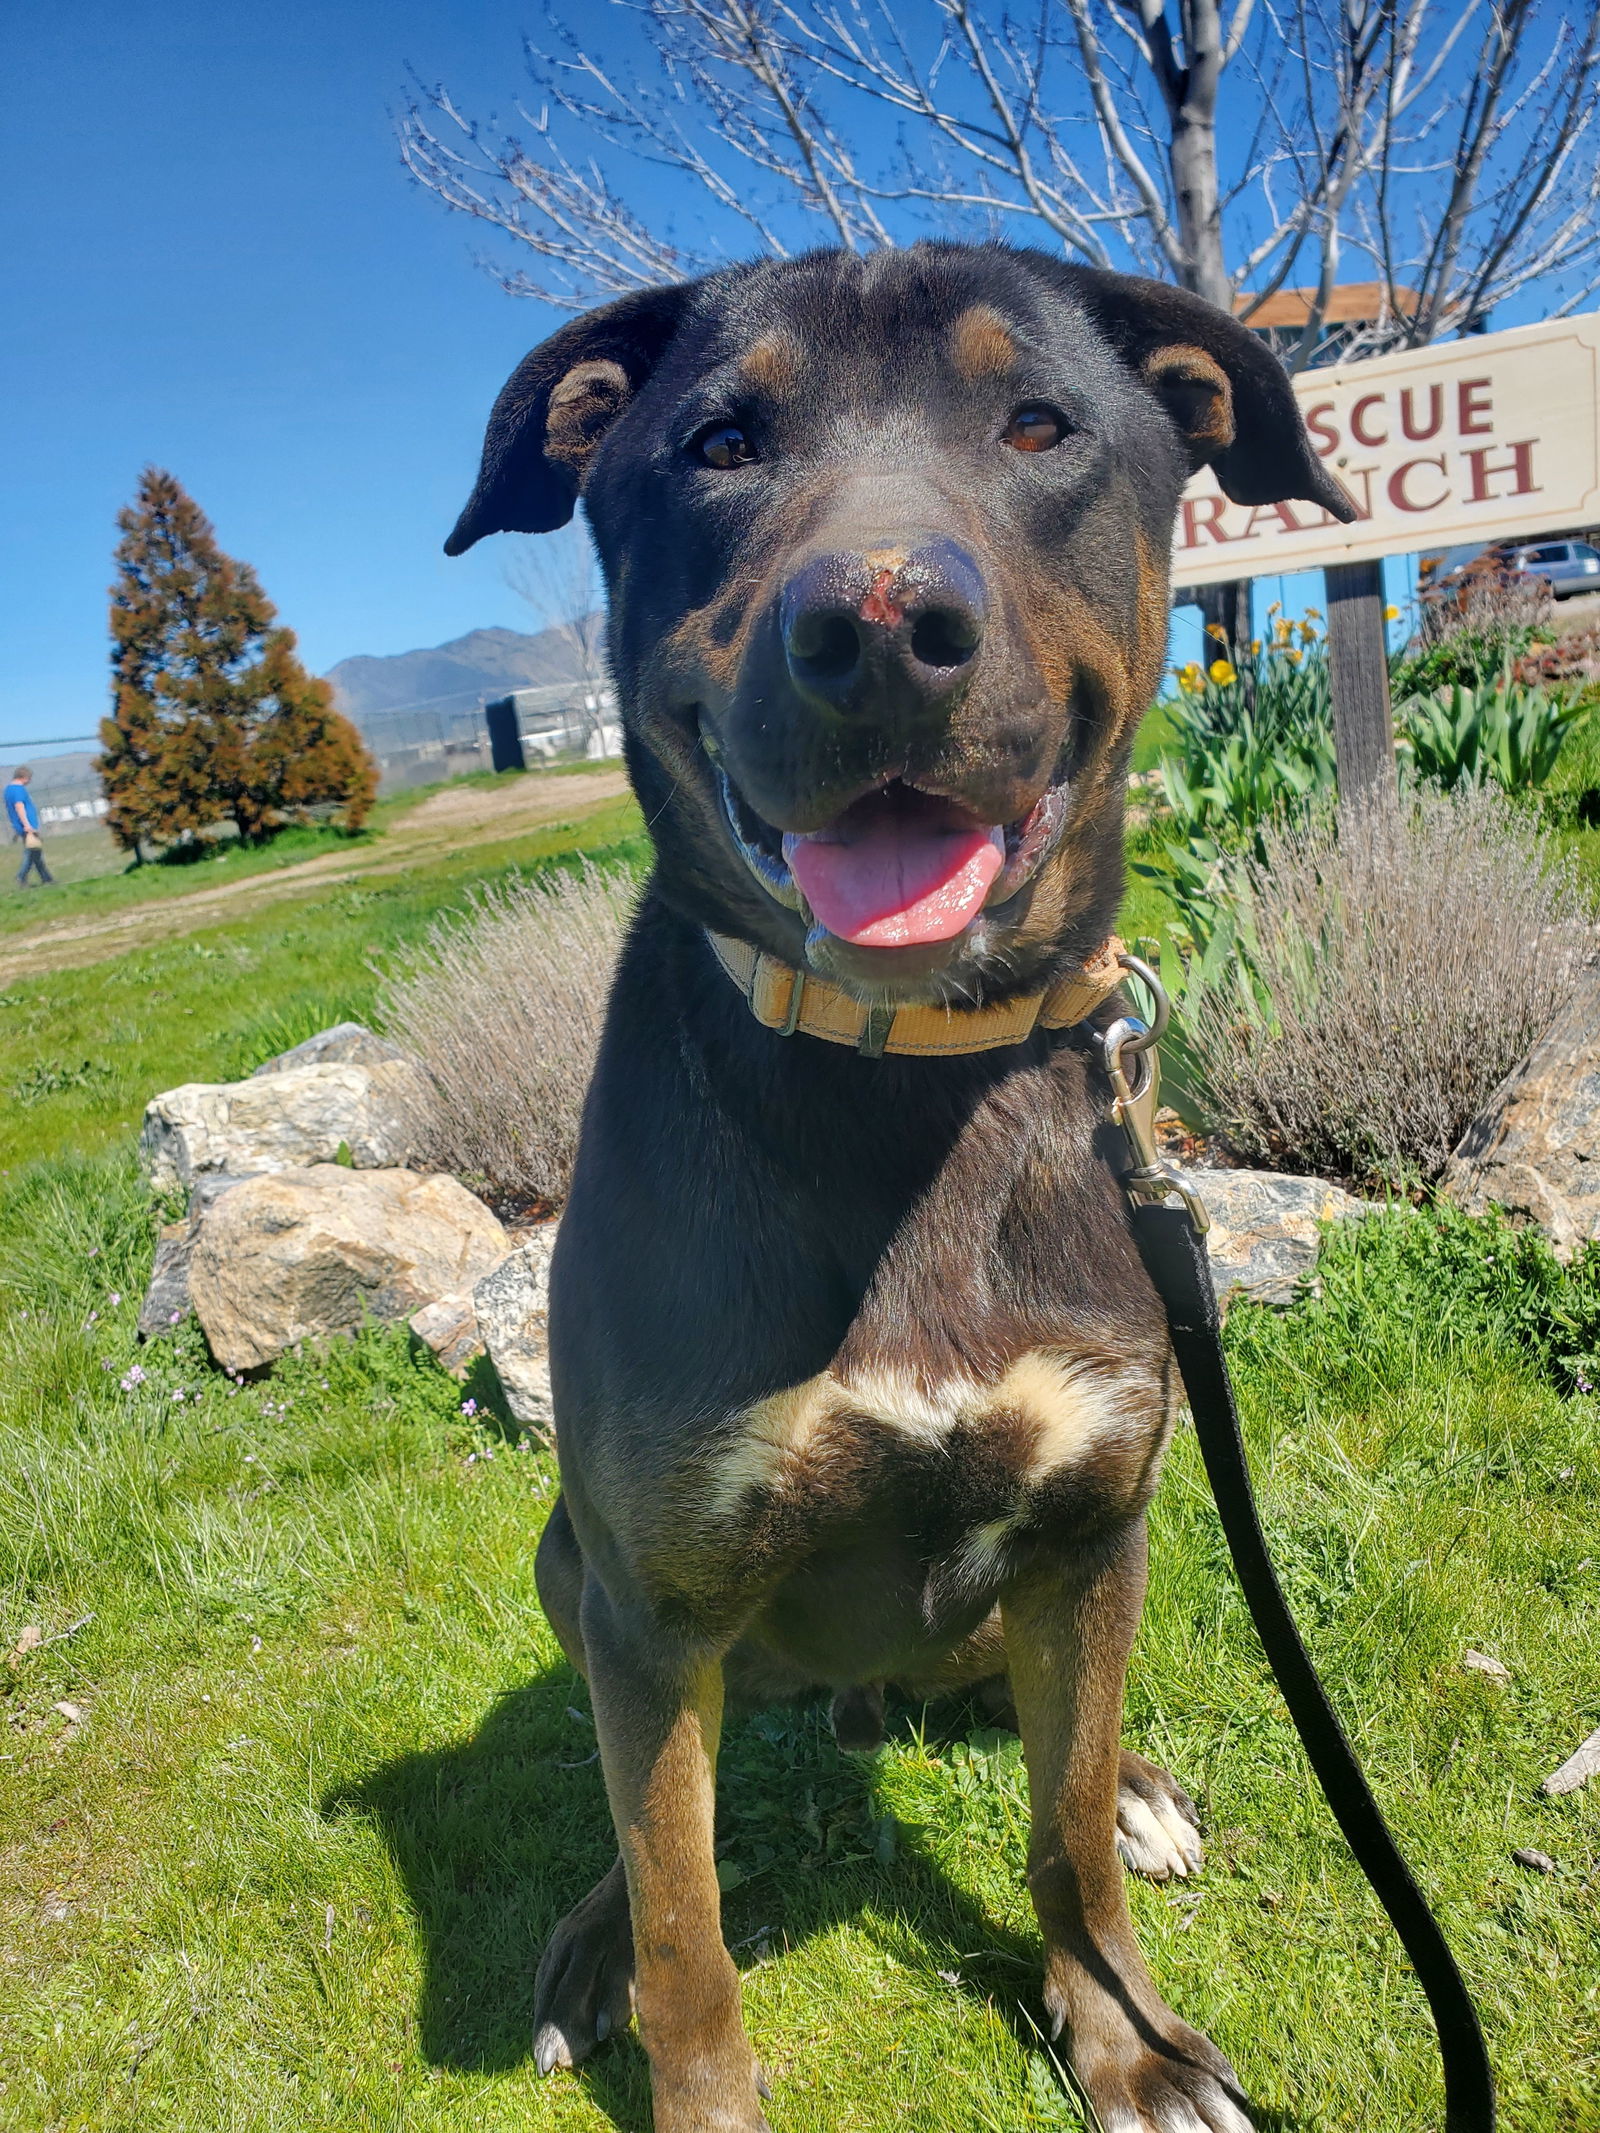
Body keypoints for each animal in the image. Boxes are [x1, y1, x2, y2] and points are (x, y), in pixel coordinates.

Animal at [448, 245, 1356, 2133]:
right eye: (720, 442)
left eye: (1043, 423)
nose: (876, 631)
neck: (900, 1070)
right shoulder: (654, 1604)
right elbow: (689, 1927)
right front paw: (693, 2077)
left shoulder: (1094, 1521)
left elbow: (1061, 1831)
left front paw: (1120, 2035)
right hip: (580, 1574)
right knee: (639, 1827)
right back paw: (585, 1940)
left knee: (1034, 1714)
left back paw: (1137, 1780)